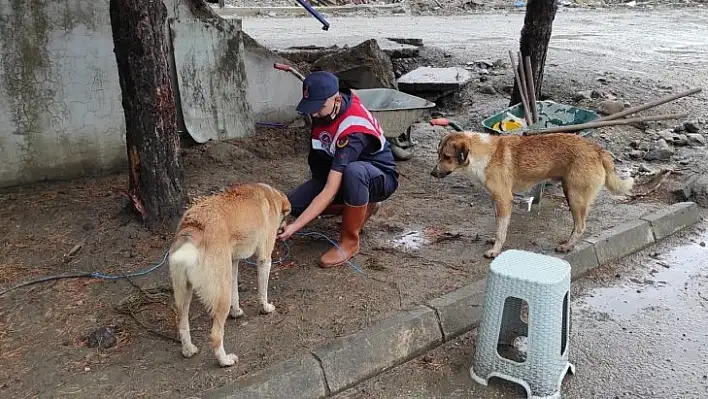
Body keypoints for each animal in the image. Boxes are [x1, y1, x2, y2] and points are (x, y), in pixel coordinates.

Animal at [169, 183, 290, 368]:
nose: (285, 227)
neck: (269, 196)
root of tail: (193, 226)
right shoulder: (264, 259)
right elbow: (263, 292)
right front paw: (266, 308)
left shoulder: (232, 264)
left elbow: (236, 293)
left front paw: (237, 311)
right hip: (221, 295)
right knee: (215, 335)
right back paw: (225, 361)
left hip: (185, 294)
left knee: (182, 323)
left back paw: (188, 350)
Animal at [432, 131, 636, 260]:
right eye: (438, 154)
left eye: (447, 157)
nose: (432, 173)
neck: (482, 153)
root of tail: (598, 149)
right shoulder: (495, 200)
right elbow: (499, 225)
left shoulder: (504, 199)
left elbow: (501, 229)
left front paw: (496, 250)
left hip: (575, 196)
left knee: (580, 226)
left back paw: (567, 246)